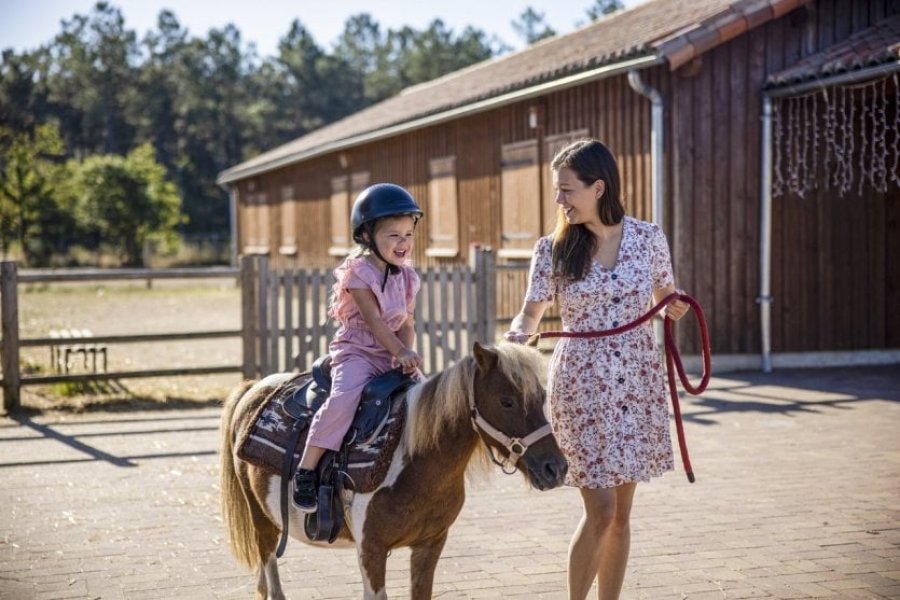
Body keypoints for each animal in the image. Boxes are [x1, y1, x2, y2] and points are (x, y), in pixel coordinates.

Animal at [219, 342, 568, 600]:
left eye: (542, 396)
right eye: (506, 401)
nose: (556, 468)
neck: (415, 461)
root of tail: (254, 388)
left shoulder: (430, 545)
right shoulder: (371, 551)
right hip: (261, 519)